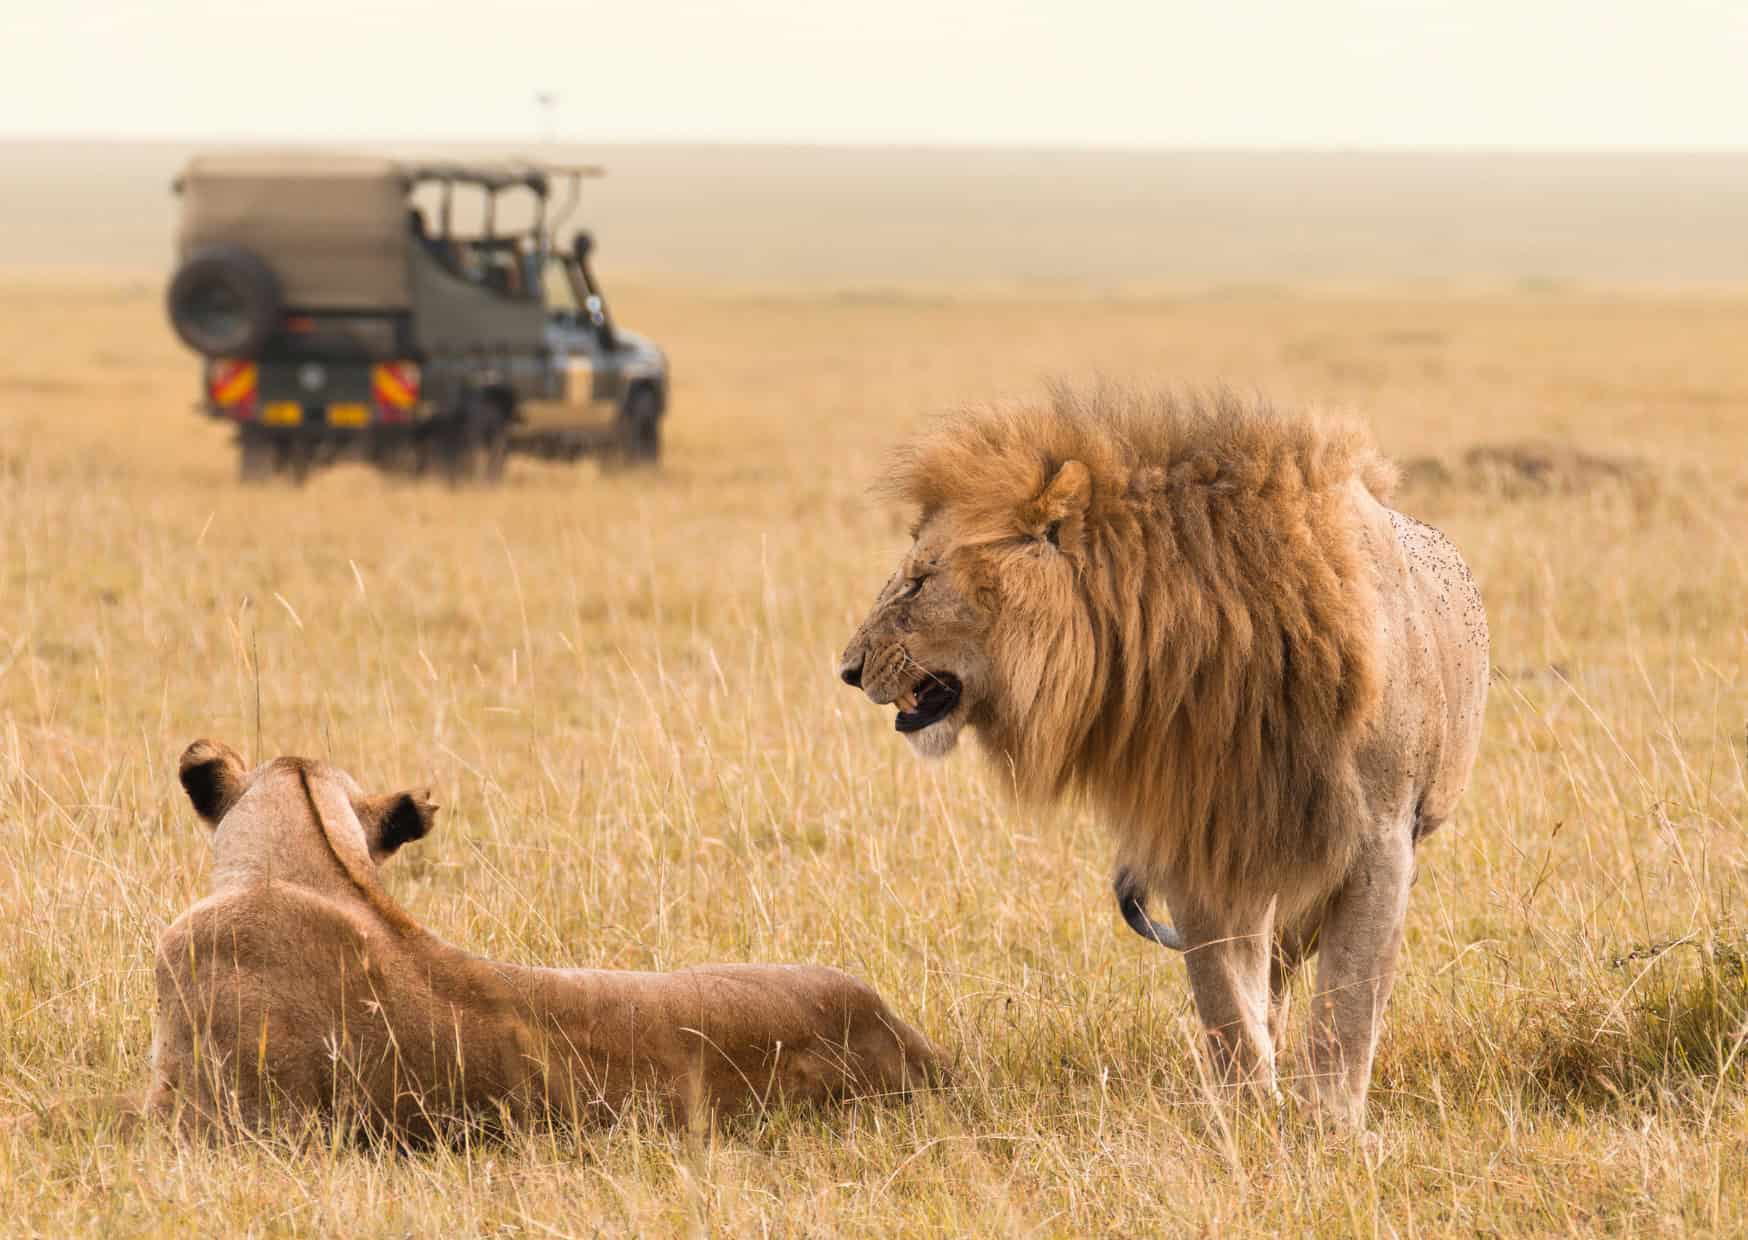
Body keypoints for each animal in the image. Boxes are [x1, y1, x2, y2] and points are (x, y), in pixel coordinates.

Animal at [838, 388, 1488, 1127]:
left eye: (920, 583)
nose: (848, 669)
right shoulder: (1200, 836)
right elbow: (1223, 996)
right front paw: (1247, 1112)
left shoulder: (1380, 839)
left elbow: (1349, 999)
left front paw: (1329, 1122)